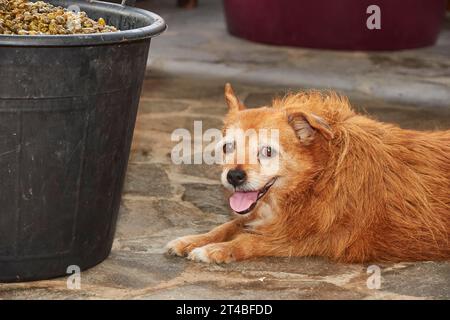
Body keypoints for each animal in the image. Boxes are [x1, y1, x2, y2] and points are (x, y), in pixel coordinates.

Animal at [166, 84, 450, 264]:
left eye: (267, 151)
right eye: (228, 147)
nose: (234, 176)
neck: (318, 178)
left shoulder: (313, 240)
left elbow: (249, 241)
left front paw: (216, 250)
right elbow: (227, 225)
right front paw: (193, 240)